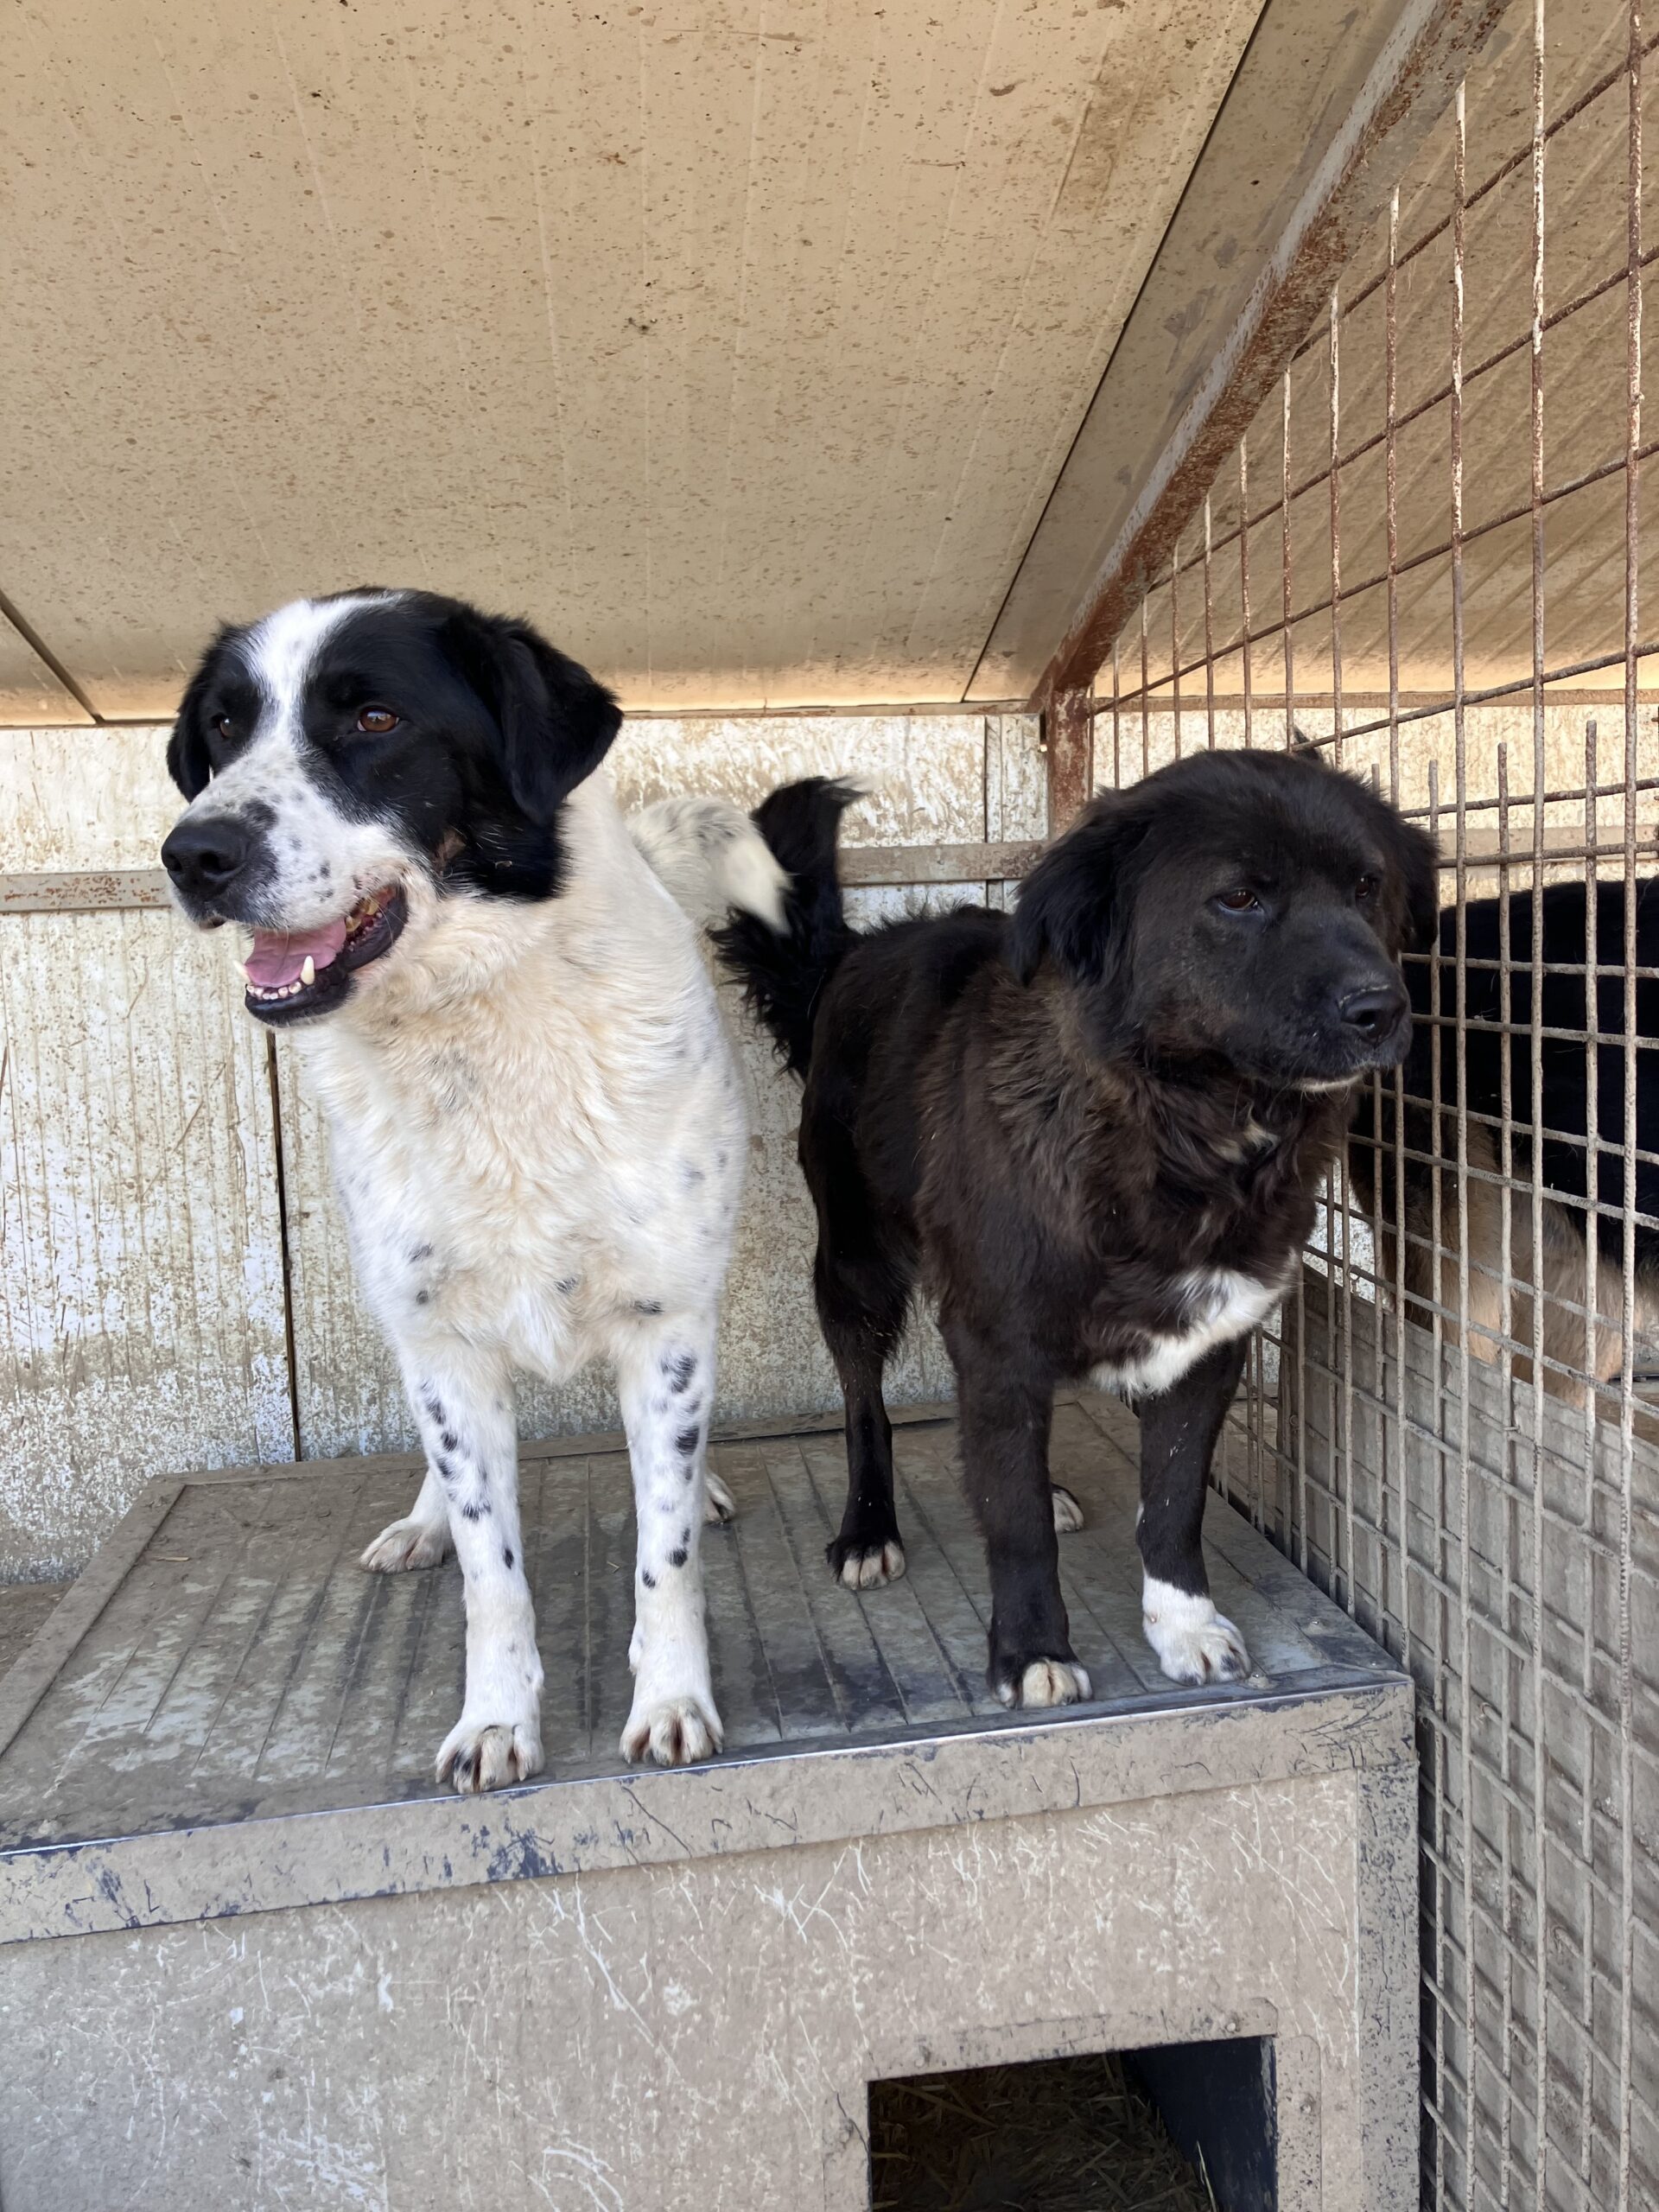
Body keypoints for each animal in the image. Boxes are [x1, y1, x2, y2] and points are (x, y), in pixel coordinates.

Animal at [160, 588, 787, 1792]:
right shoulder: (442, 1339)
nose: (192, 853)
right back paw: (424, 1524)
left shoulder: (665, 1321)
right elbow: (493, 1576)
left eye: (374, 717)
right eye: (222, 727)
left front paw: (671, 1695)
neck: (479, 1026)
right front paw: (496, 1718)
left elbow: (666, 1554)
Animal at [716, 750, 1438, 1705]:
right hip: (855, 1265)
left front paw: (1183, 1625)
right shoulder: (995, 1336)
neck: (1191, 1133)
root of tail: (858, 951)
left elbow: (1172, 1506)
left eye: (1367, 887)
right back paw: (869, 1527)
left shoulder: (1211, 1341)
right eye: (1239, 898)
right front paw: (1033, 1651)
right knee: (865, 1405)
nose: (1381, 1008)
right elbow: (1016, 1523)